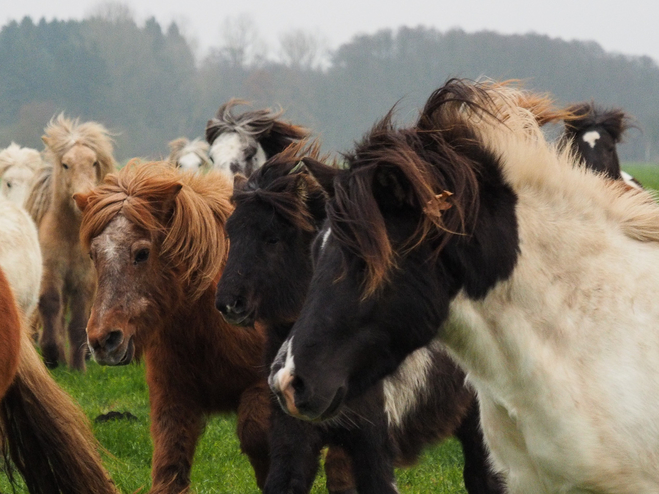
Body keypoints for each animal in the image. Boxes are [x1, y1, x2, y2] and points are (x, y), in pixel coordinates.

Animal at [24, 115, 116, 370]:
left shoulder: (84, 281)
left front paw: (77, 366)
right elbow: (51, 306)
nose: (85, 198)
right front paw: (52, 354)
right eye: (65, 164)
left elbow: (77, 321)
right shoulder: (51, 274)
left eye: (94, 162)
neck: (70, 238)